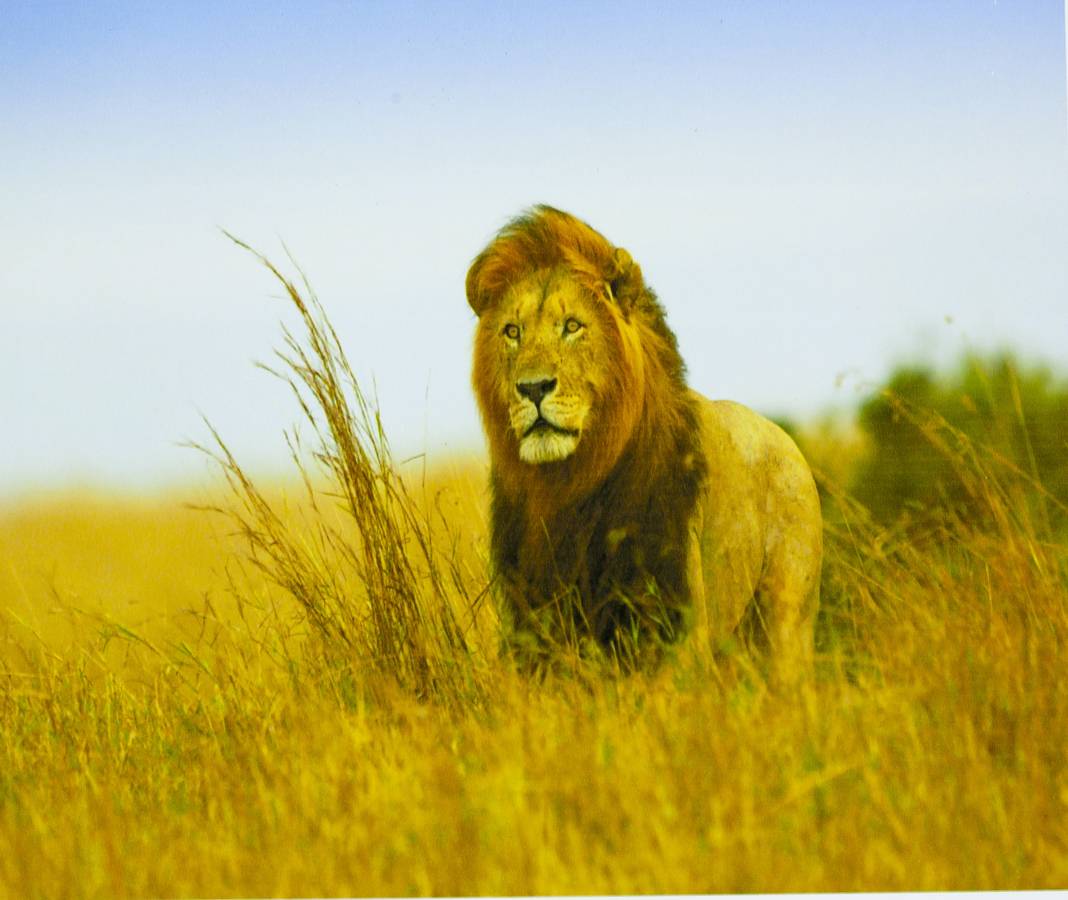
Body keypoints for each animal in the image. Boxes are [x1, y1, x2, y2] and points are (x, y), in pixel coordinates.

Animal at [466, 205, 822, 679]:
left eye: (572, 326)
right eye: (512, 332)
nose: (533, 388)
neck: (566, 487)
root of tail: (786, 440)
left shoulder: (673, 620)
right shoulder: (534, 623)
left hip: (786, 622)